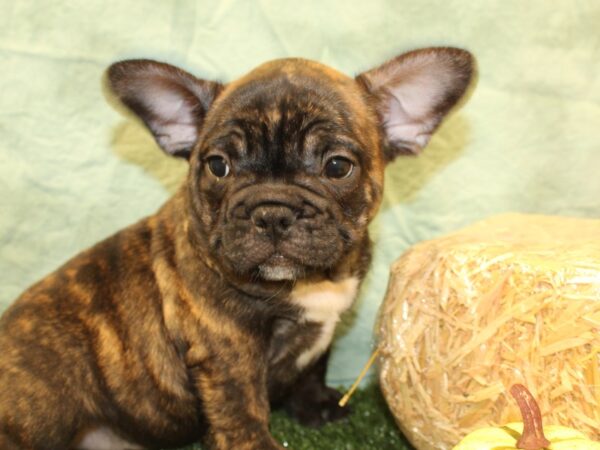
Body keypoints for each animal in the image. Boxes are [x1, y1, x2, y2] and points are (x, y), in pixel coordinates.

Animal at [0, 47, 474, 448]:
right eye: (218, 166)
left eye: (338, 166)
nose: (272, 211)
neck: (309, 281)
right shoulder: (227, 349)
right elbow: (241, 408)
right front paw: (256, 441)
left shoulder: (323, 330)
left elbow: (313, 367)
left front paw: (316, 406)